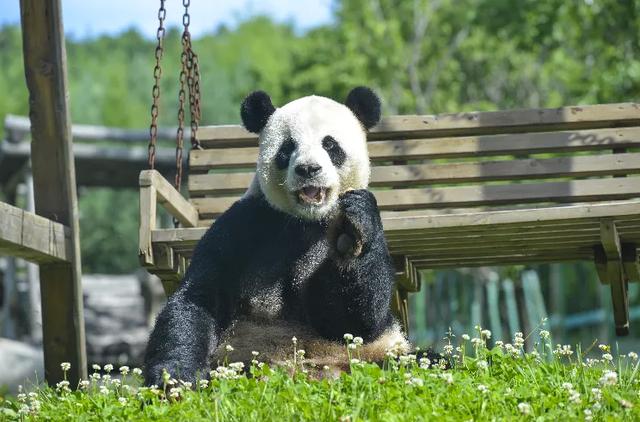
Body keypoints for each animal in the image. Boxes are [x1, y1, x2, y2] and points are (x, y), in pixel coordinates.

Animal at [143, 85, 408, 386]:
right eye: (287, 148)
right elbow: (199, 298)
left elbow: (354, 322)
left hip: (384, 353)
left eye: (330, 145)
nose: (308, 169)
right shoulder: (245, 225)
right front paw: (175, 376)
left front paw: (350, 237)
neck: (308, 219)